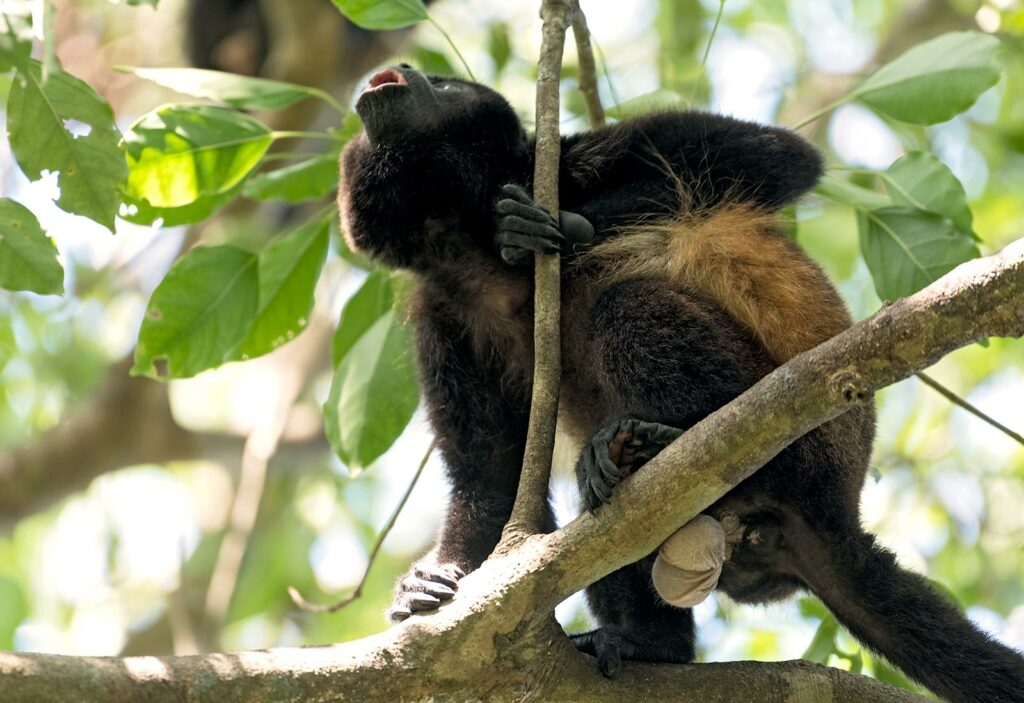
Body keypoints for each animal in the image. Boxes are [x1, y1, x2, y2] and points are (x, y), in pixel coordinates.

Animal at [338, 65, 1024, 703]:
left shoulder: (572, 157)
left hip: (807, 447)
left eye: (445, 82)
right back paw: (648, 636)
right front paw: (433, 583)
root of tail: (835, 512)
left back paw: (663, 436)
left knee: (627, 305)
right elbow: (489, 472)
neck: (462, 237)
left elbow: (780, 158)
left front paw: (547, 227)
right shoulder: (441, 311)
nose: (405, 69)